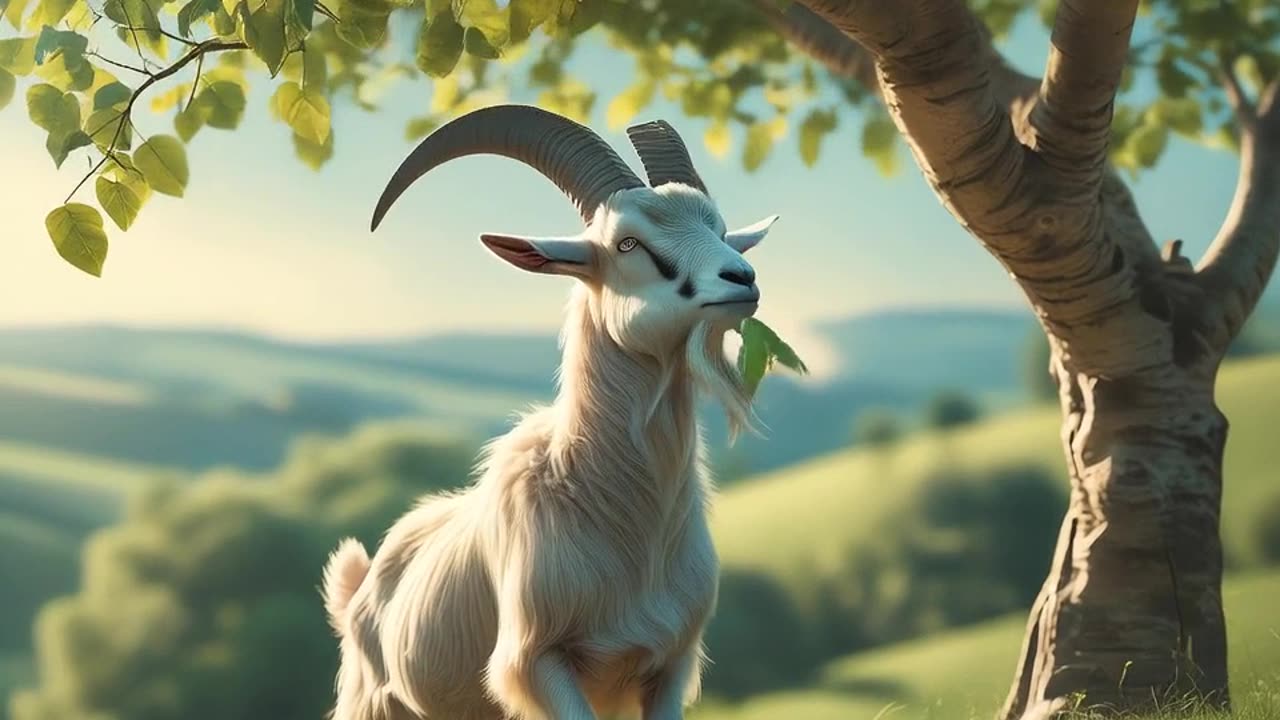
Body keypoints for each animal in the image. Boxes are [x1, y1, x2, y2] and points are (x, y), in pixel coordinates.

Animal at [322, 104, 780, 720]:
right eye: (627, 244)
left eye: (722, 231)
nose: (741, 279)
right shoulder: (538, 664)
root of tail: (361, 585)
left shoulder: (669, 665)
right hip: (372, 703)